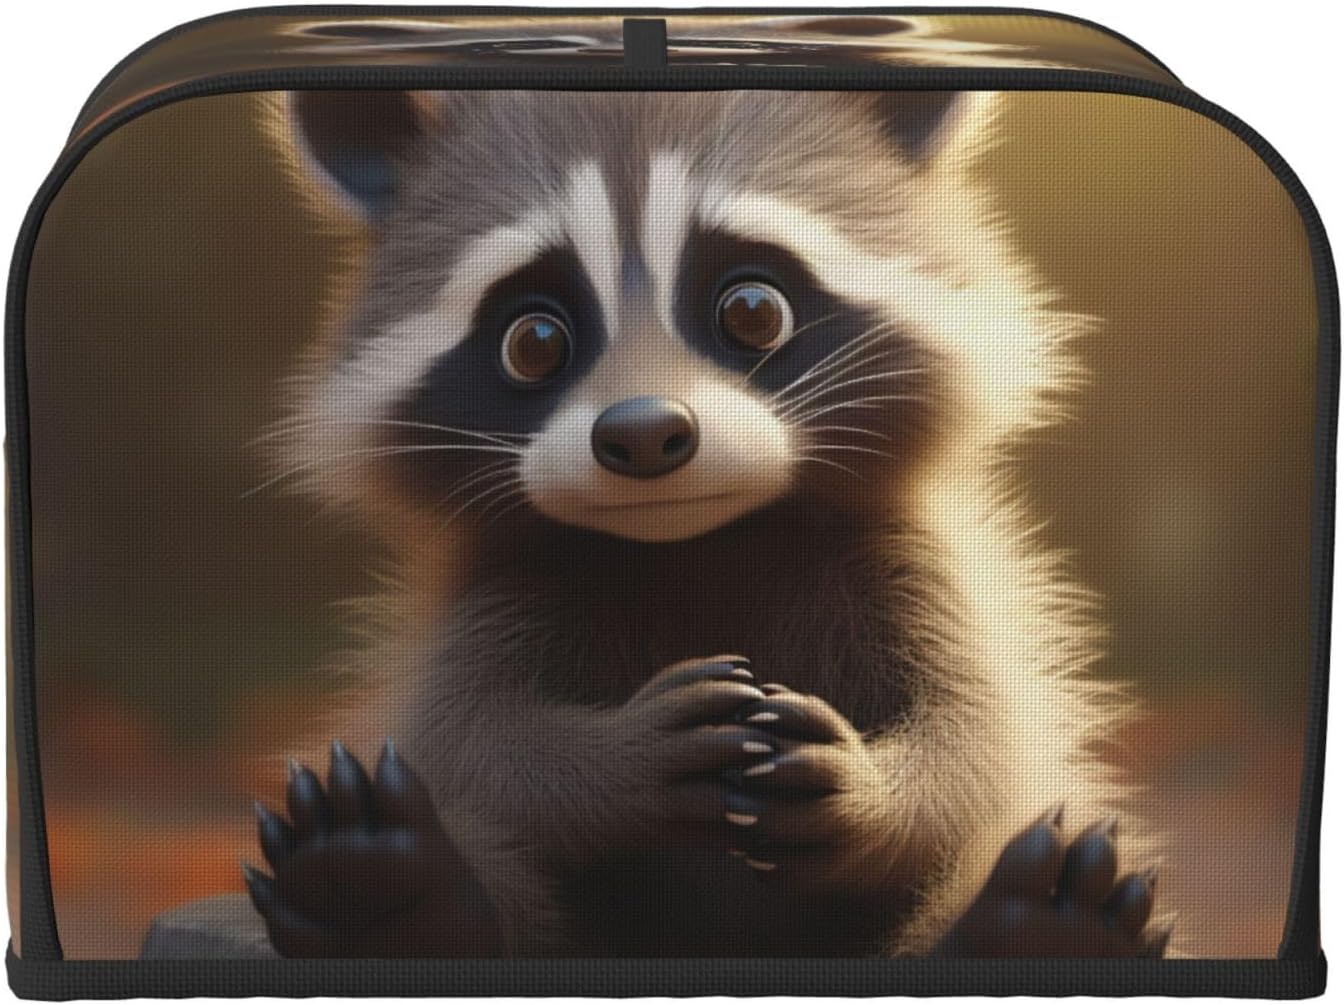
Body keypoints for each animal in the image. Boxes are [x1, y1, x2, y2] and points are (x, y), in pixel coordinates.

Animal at [243, 88, 1171, 958]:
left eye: (753, 310)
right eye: (534, 339)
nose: (643, 432)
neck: (695, 541)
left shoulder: (914, 570)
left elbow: (978, 742)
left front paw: (870, 789)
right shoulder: (501, 591)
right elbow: (473, 743)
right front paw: (617, 759)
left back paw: (1031, 925)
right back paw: (390, 897)